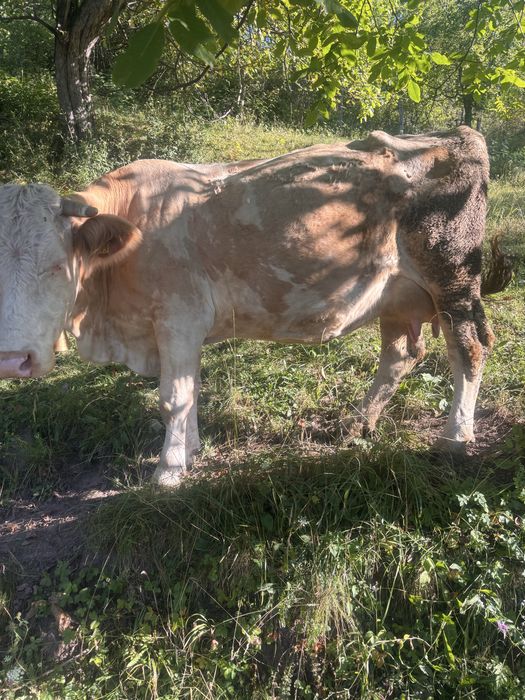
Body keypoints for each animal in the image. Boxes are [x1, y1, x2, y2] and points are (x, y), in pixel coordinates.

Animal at [0, 127, 508, 486]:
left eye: (58, 266)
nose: (12, 360)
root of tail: (457, 133)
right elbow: (192, 390)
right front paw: (191, 449)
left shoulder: (178, 317)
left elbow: (173, 397)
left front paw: (168, 471)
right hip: (397, 293)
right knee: (400, 355)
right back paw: (358, 424)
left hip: (453, 280)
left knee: (470, 349)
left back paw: (455, 437)